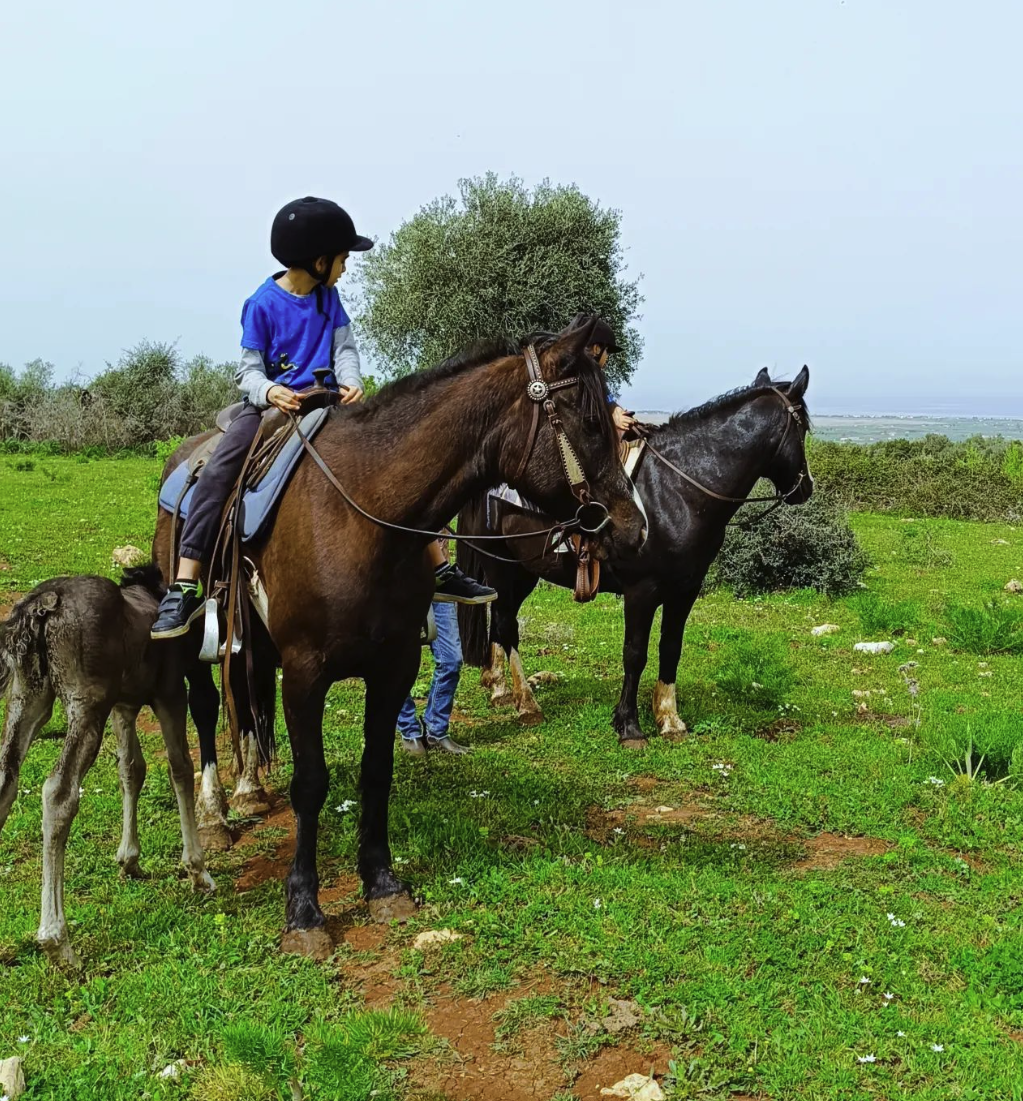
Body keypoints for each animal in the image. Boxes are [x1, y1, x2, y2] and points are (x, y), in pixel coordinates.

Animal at [0, 568, 212, 964]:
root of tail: (43, 605)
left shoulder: (123, 707)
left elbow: (131, 769)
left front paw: (129, 859)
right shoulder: (170, 693)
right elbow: (179, 766)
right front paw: (197, 871)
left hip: (28, 699)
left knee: (7, 780)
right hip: (86, 706)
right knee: (59, 792)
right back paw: (57, 940)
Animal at [154, 319, 643, 955]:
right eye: (589, 424)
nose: (636, 529)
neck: (359, 513)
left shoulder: (394, 667)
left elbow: (376, 770)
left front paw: (382, 882)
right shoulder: (305, 674)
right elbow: (311, 783)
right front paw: (304, 910)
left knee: (245, 699)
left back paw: (250, 788)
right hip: (198, 636)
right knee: (211, 704)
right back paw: (215, 812)